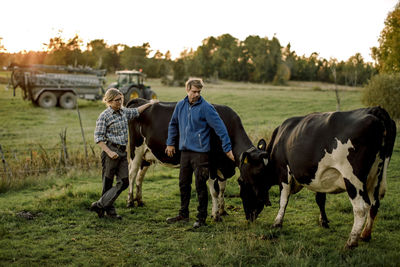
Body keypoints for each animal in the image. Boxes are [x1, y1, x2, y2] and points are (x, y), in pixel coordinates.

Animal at [126, 98, 268, 222]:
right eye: (255, 176)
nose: (264, 203)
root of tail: (141, 101)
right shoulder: (211, 165)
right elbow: (215, 191)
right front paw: (215, 215)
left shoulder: (222, 166)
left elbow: (222, 189)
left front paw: (223, 211)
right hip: (135, 149)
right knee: (132, 174)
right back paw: (130, 201)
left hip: (146, 155)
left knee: (140, 176)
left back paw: (140, 200)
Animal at [238, 107, 396, 249]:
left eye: (240, 181)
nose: (248, 218)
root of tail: (375, 110)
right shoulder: (320, 177)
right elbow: (320, 199)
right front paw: (323, 221)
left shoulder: (284, 172)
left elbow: (283, 199)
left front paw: (277, 222)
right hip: (377, 177)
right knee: (375, 203)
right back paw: (365, 235)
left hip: (353, 178)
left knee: (361, 208)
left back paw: (351, 242)